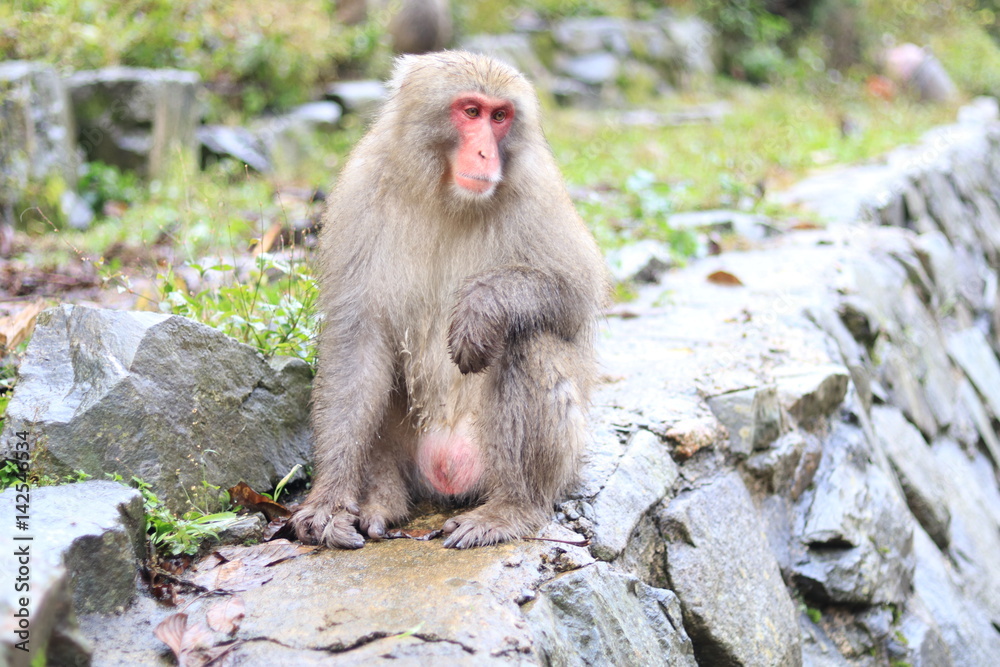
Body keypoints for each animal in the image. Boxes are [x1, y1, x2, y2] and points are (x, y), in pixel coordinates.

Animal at [291, 51, 607, 550]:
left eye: (500, 116)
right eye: (471, 111)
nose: (485, 153)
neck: (447, 196)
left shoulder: (537, 187)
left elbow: (576, 295)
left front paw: (482, 306)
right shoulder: (361, 190)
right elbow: (356, 340)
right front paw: (330, 500)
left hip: (539, 459)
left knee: (528, 338)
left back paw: (512, 507)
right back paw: (382, 500)